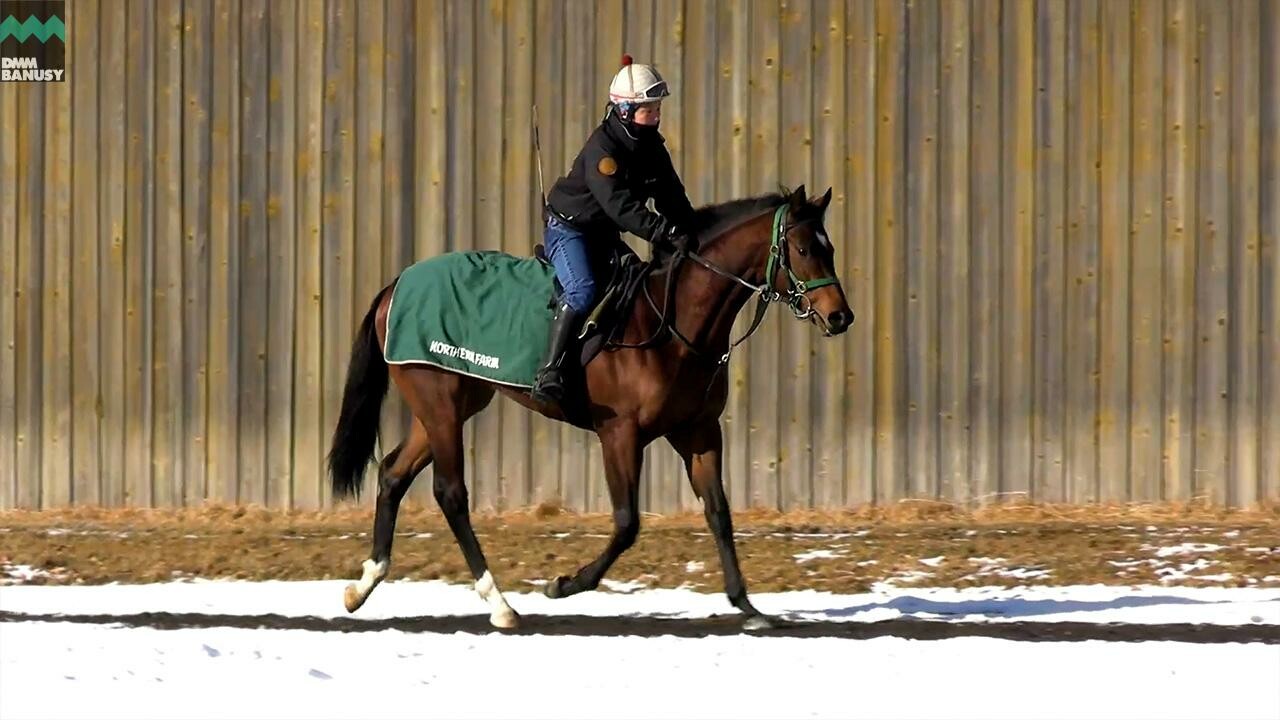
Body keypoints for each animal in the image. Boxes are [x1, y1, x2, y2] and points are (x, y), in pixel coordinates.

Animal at [325, 183, 855, 627]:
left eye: (830, 247)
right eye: (803, 249)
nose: (840, 317)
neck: (670, 322)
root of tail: (395, 285)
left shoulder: (699, 431)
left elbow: (719, 514)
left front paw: (746, 605)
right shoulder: (620, 433)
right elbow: (626, 523)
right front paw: (564, 584)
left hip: (450, 404)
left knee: (393, 474)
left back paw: (362, 586)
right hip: (440, 404)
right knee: (450, 493)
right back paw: (500, 605)